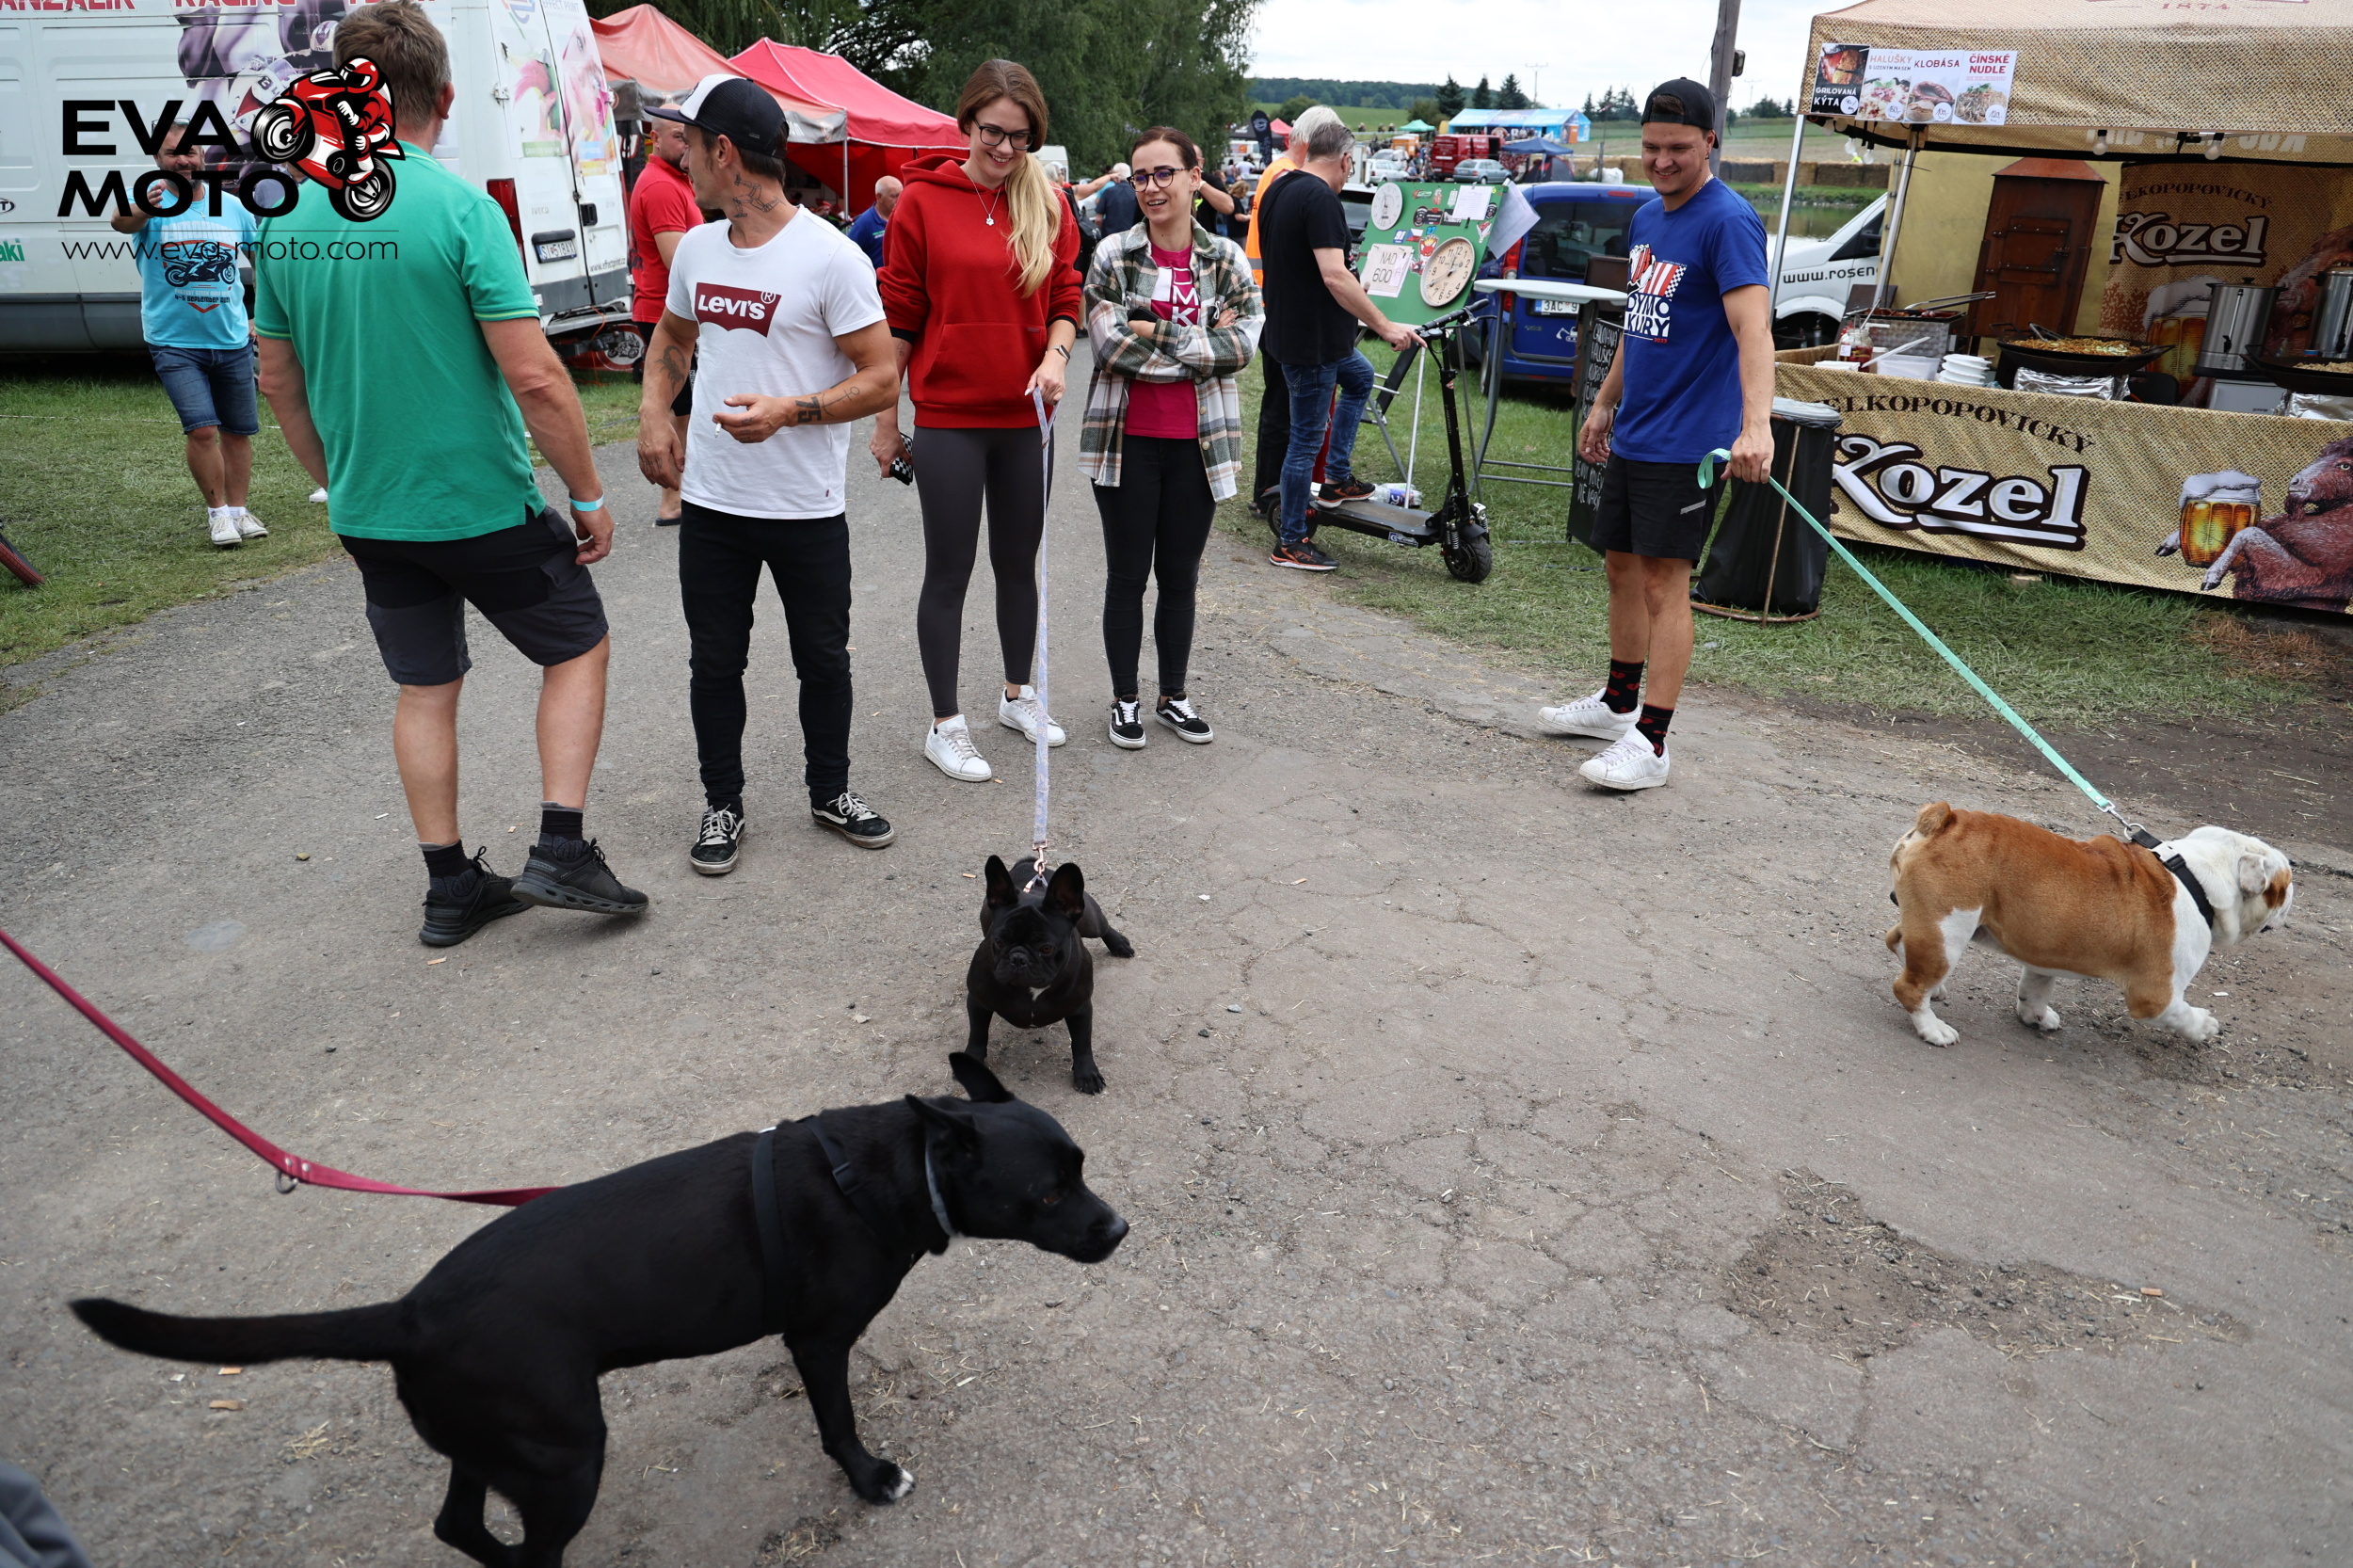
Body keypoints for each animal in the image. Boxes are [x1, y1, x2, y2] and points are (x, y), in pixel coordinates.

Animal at [70, 1054, 1126, 1568]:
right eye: (1046, 1193)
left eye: (1082, 1166)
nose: (1117, 1228)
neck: (890, 1168)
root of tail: (408, 1313)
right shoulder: (819, 1341)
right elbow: (836, 1424)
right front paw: (869, 1478)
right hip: (568, 1457)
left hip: (501, 1445)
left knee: (459, 1528)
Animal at [968, 855, 1134, 1095]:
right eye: (998, 941)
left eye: (1046, 948)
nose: (1018, 958)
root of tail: (1030, 865)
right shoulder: (978, 1002)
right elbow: (978, 1035)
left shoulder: (1080, 1008)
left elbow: (1082, 1043)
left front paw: (1086, 1074)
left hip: (1089, 921)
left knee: (1103, 927)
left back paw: (1119, 944)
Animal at [1885, 802, 2293, 1048]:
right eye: (2285, 883)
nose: (2293, 895)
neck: (2194, 878)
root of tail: (1944, 818)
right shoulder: (2155, 996)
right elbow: (2181, 1014)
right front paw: (2204, 1026)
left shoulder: (2045, 951)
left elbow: (2034, 988)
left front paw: (2035, 1016)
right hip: (1947, 931)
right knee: (1908, 986)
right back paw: (1933, 1027)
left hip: (1936, 927)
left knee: (1898, 941)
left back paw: (1936, 990)